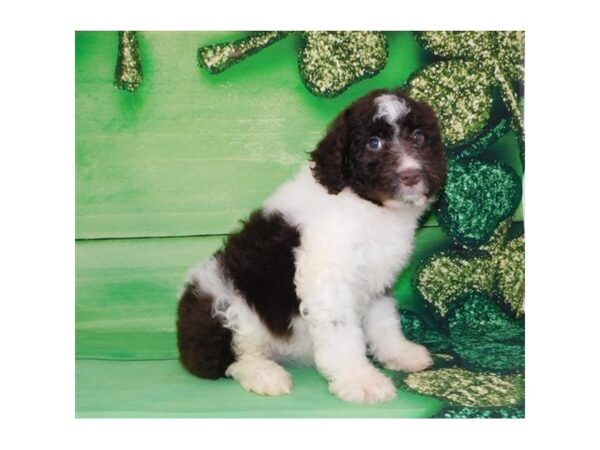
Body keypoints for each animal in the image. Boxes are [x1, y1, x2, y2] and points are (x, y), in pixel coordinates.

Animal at [177, 88, 446, 404]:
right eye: (373, 143)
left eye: (418, 136)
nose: (411, 175)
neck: (366, 204)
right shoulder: (328, 278)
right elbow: (341, 331)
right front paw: (361, 380)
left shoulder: (375, 280)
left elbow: (384, 321)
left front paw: (400, 354)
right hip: (224, 304)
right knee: (229, 358)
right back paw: (265, 375)